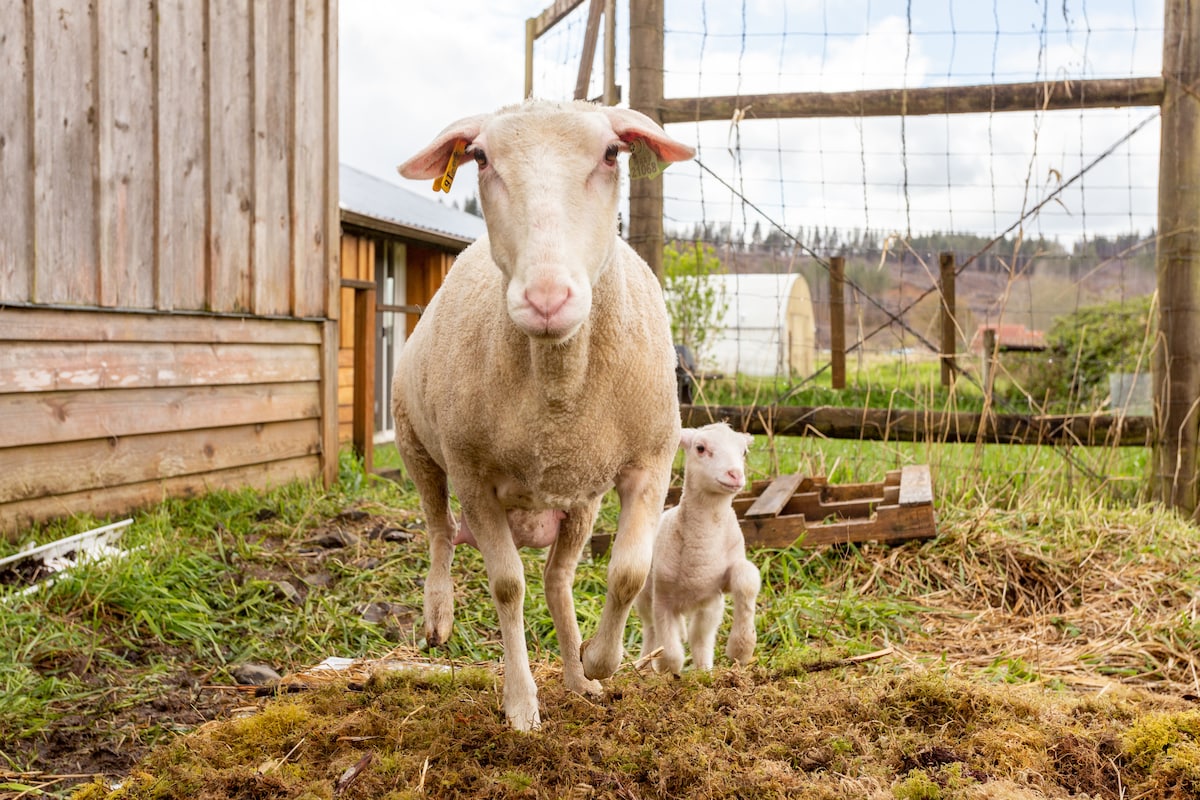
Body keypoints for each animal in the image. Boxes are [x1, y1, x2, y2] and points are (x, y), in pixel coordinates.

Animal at [393, 100, 696, 734]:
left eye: (611, 153)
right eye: (481, 158)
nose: (547, 299)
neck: (559, 386)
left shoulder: (652, 460)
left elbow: (629, 572)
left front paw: (600, 661)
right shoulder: (474, 478)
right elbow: (509, 587)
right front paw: (521, 705)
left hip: (580, 497)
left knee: (559, 579)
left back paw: (580, 676)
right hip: (418, 444)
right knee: (439, 530)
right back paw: (438, 615)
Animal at [638, 424, 758, 676]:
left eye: (743, 452)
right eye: (700, 448)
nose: (735, 474)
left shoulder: (714, 592)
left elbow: (747, 578)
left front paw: (741, 648)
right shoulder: (662, 598)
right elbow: (671, 649)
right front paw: (667, 669)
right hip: (645, 596)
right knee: (650, 629)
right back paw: (646, 664)